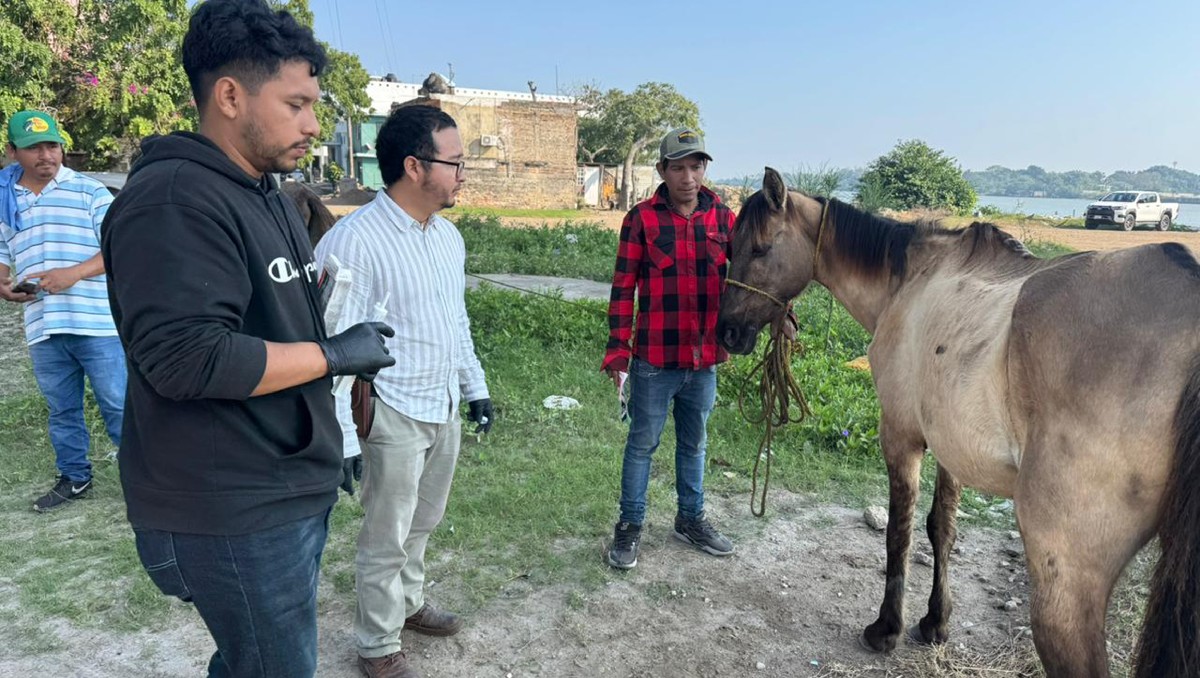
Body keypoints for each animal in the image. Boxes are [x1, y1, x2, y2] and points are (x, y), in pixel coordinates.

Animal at [715, 167, 1200, 677]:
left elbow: (900, 530)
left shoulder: (901, 435)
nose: (726, 331)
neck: (909, 281)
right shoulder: (952, 446)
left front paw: (887, 628)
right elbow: (941, 528)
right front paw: (935, 622)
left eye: (759, 248)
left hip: (1064, 590)